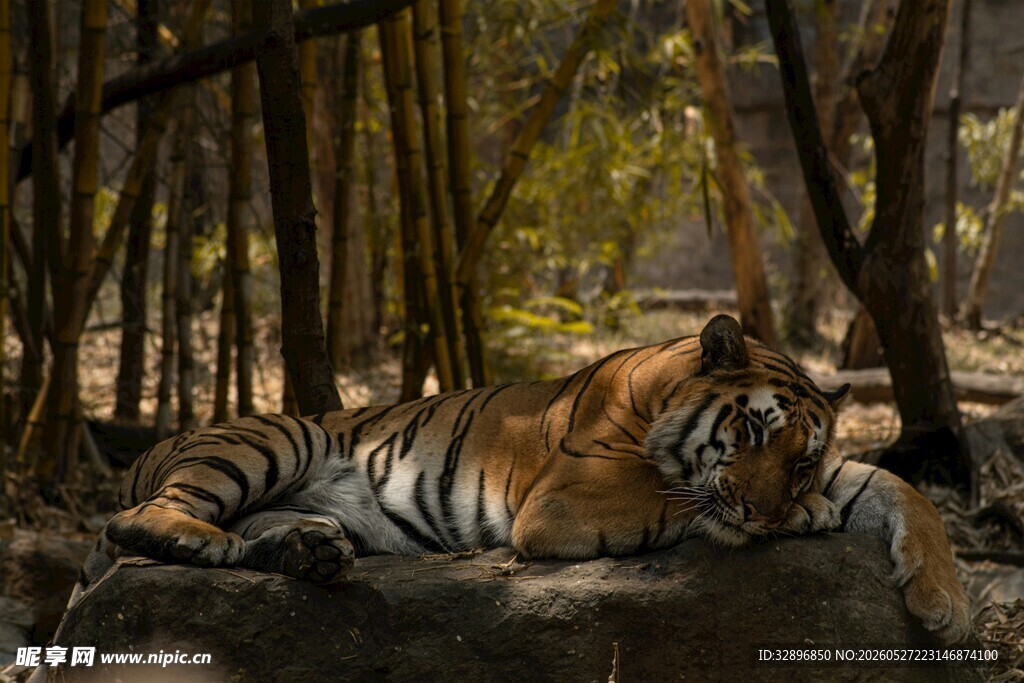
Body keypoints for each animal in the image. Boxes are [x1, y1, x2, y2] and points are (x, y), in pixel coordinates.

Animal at [73, 315, 971, 642]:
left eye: (802, 455)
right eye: (749, 431)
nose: (767, 509)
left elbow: (907, 491)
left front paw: (945, 605)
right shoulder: (566, 499)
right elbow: (676, 494)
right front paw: (807, 517)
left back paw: (308, 550)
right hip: (276, 436)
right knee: (138, 521)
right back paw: (208, 539)